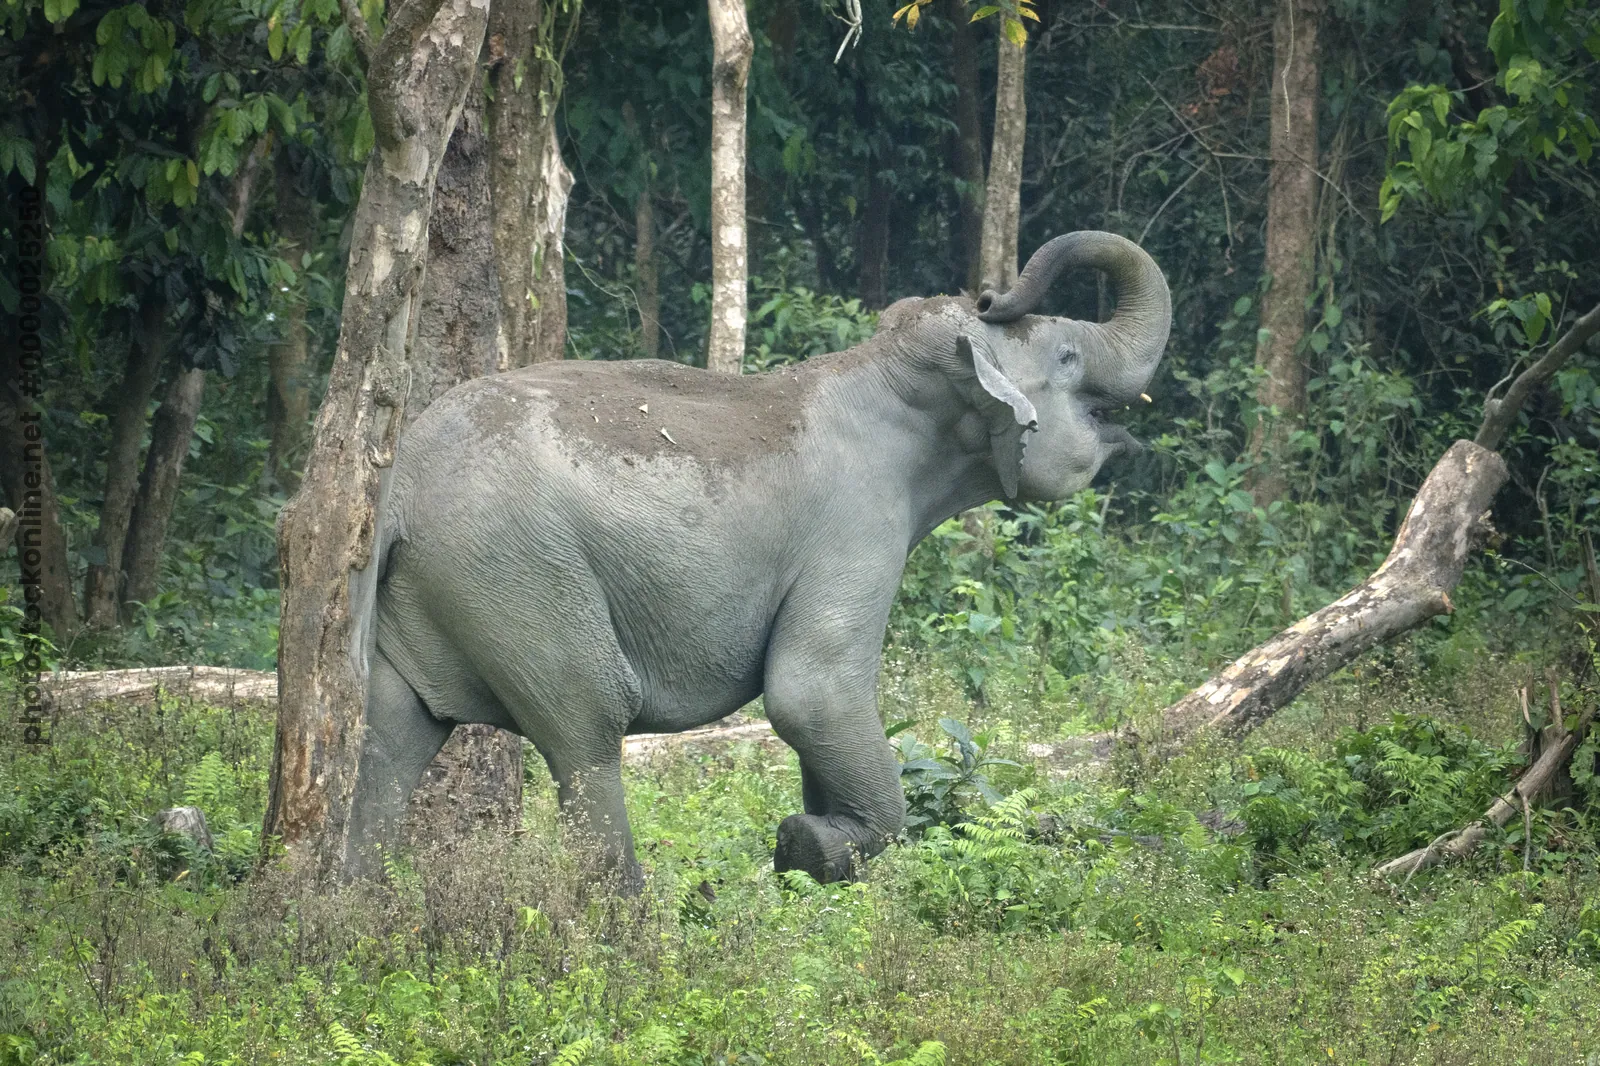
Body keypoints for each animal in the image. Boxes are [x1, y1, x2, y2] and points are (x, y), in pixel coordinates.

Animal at [344, 231, 1171, 887]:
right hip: (519, 577)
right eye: (1067, 355)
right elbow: (812, 692)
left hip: (435, 594)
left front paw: (810, 841)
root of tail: (400, 489)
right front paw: (803, 845)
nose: (993, 289)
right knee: (589, 729)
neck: (884, 369)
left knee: (394, 736)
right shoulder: (857, 522)